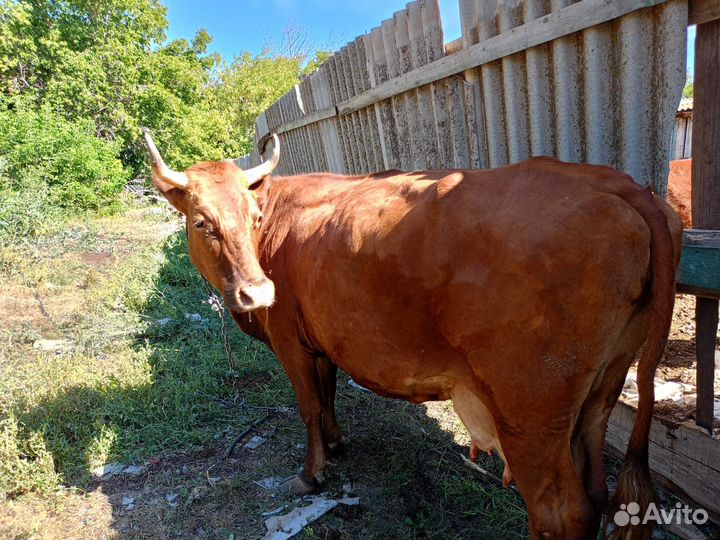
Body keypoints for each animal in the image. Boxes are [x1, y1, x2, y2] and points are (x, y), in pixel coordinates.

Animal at [143, 130, 682, 540]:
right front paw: (337, 444)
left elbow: (309, 404)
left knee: (561, 511)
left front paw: (312, 473)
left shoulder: (288, 340)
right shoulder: (321, 340)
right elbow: (328, 393)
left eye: (254, 218)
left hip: (530, 414)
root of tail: (619, 185)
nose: (257, 293)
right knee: (597, 491)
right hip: (600, 392)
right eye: (202, 222)